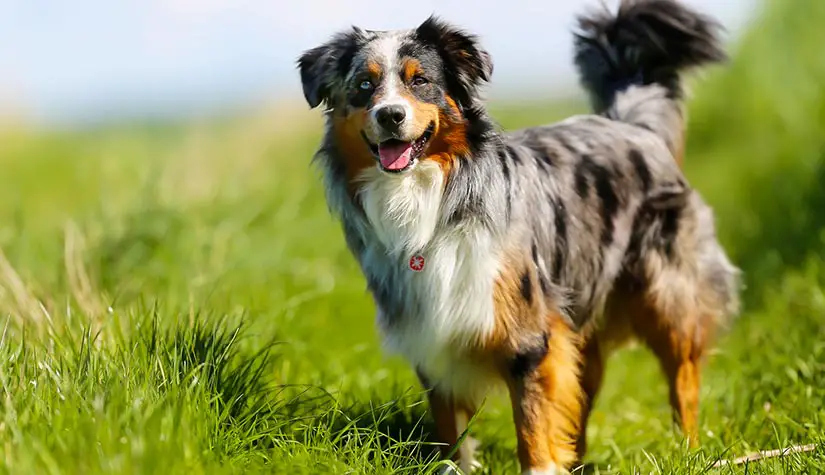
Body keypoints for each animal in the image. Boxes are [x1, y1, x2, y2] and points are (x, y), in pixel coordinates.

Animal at [296, 0, 740, 472]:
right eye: (365, 85)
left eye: (421, 81)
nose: (390, 115)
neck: (430, 201)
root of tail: (634, 126)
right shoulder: (431, 333)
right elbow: (452, 429)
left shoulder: (527, 333)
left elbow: (532, 421)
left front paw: (540, 463)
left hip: (668, 297)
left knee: (683, 378)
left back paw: (687, 451)